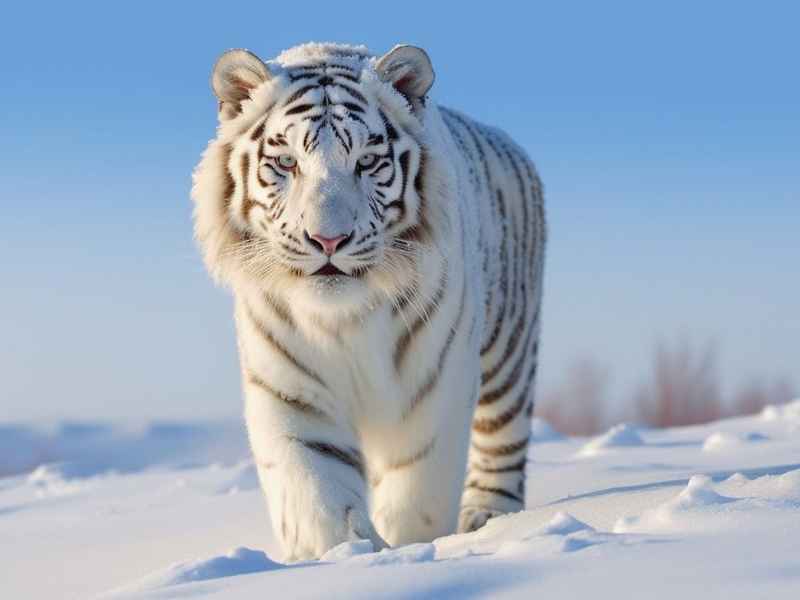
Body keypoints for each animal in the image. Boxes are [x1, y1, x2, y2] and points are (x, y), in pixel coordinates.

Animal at [191, 42, 546, 561]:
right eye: (287, 163)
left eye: (366, 161)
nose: (328, 239)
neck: (343, 321)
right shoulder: (292, 394)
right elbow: (319, 497)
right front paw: (348, 554)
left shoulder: (433, 390)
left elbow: (417, 497)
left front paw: (409, 550)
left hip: (509, 352)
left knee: (503, 440)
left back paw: (490, 519)